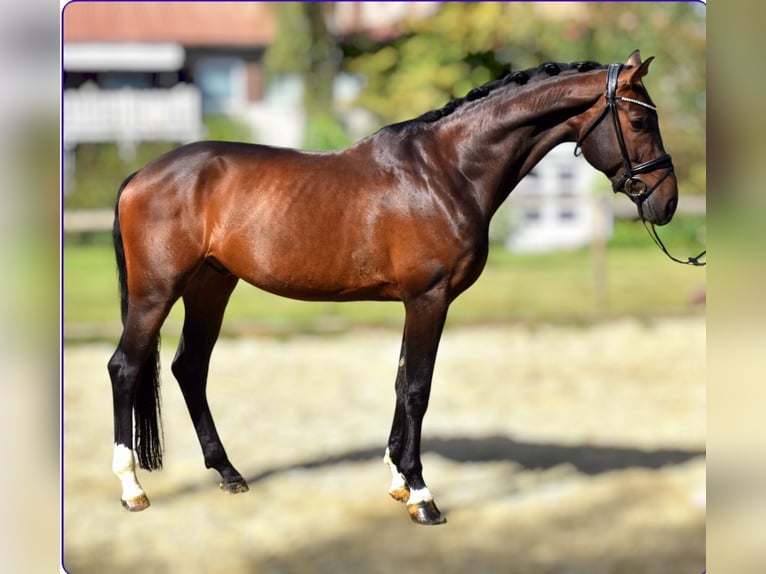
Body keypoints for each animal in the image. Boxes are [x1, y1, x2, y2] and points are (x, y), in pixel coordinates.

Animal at [106, 51, 680, 528]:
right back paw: (132, 489)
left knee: (189, 367)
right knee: (126, 367)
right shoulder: (429, 298)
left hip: (211, 286)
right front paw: (423, 496)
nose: (667, 201)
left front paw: (398, 479)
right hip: (157, 292)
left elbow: (403, 382)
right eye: (639, 120)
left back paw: (228, 473)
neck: (447, 170)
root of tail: (140, 174)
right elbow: (419, 388)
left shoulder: (415, 301)